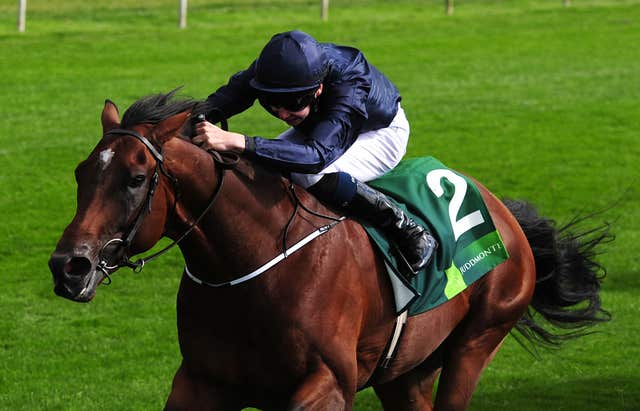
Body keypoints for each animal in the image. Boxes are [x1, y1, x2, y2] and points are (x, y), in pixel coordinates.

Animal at [47, 91, 608, 410]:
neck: (251, 266)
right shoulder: (201, 383)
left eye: (135, 178)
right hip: (406, 372)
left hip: (478, 340)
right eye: (80, 173)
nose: (68, 267)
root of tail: (504, 213)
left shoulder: (329, 384)